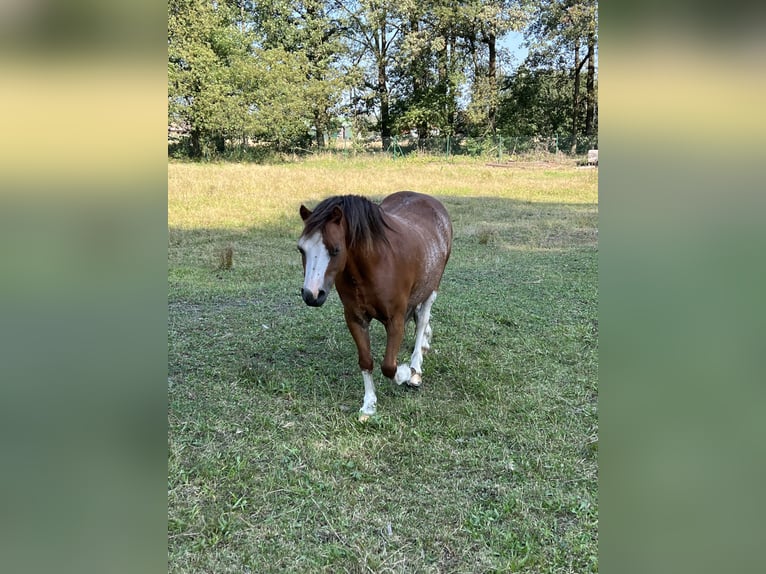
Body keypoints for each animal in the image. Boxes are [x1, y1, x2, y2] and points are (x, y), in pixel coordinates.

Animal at [296, 194, 452, 424]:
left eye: (336, 249)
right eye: (301, 249)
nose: (311, 294)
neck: (375, 264)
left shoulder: (395, 320)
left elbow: (389, 367)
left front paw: (407, 372)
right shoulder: (355, 319)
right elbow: (366, 361)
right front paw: (369, 405)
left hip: (432, 289)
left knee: (422, 320)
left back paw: (416, 367)